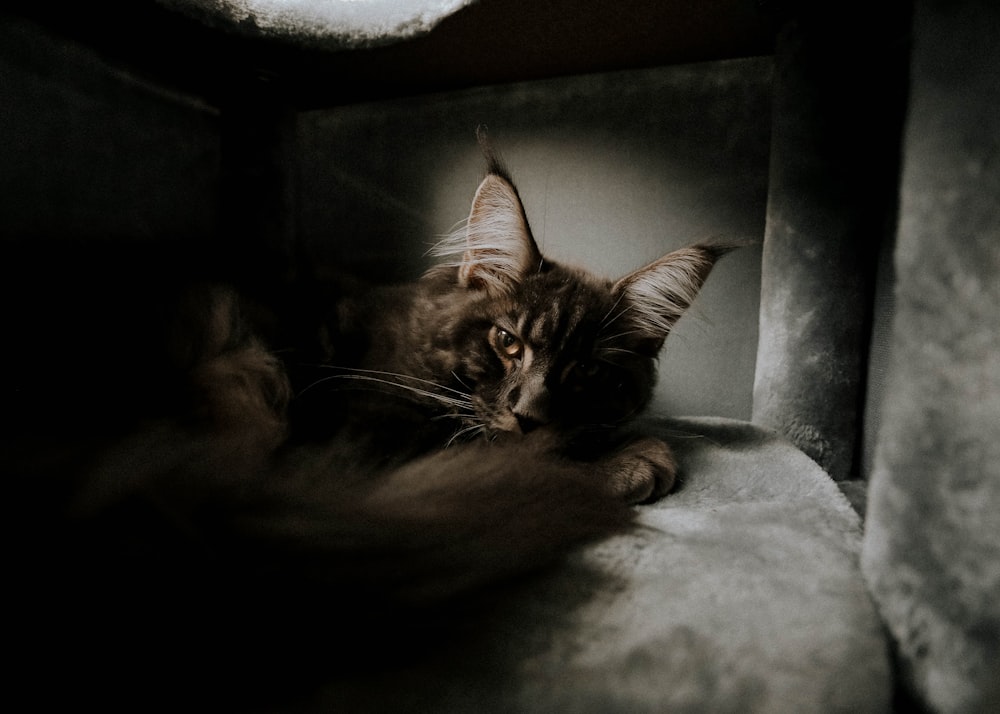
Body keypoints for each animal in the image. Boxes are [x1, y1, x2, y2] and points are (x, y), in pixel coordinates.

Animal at [5, 138, 736, 708]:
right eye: (507, 343)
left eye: (585, 375)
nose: (530, 414)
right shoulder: (360, 432)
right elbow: (510, 452)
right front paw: (637, 456)